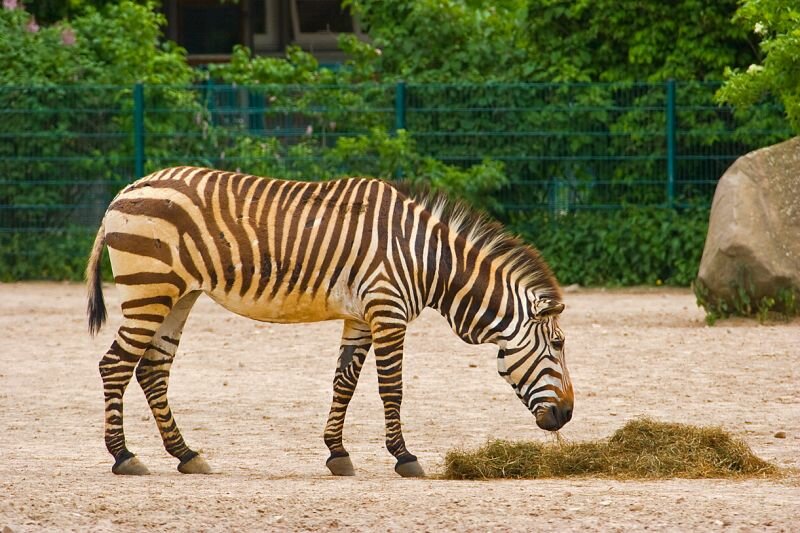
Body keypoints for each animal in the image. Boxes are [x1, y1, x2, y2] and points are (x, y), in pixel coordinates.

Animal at [89, 164, 576, 476]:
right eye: (557, 345)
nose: (567, 415)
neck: (428, 260)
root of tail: (126, 189)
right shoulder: (388, 310)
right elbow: (391, 388)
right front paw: (404, 457)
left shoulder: (361, 316)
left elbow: (344, 382)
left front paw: (337, 453)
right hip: (149, 290)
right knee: (115, 364)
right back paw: (123, 457)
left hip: (178, 296)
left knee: (153, 370)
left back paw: (186, 454)